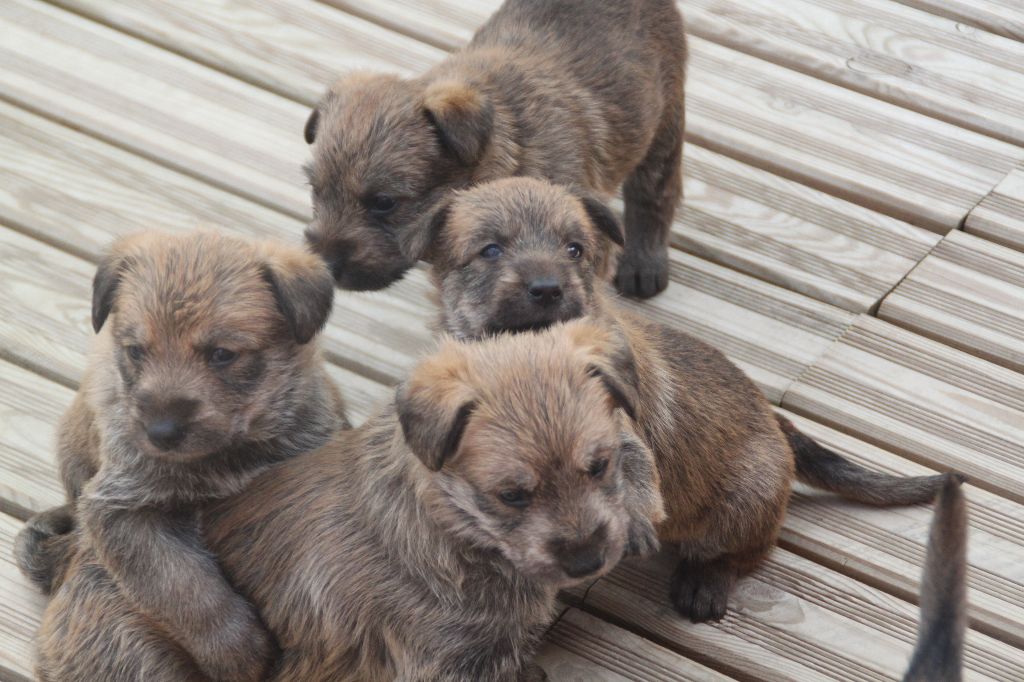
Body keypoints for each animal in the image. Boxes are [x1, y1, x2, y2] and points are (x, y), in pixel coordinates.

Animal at [16, 229, 344, 679]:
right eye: (136, 351)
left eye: (222, 354)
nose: (160, 432)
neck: (228, 454)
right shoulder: (122, 508)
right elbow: (181, 584)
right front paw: (236, 651)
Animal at [29, 319, 663, 679]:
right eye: (511, 496)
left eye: (599, 465)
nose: (586, 560)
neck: (452, 529)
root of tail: (74, 559)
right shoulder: (443, 665)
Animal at [303, 0, 688, 299]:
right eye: (315, 191)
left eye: (384, 203)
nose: (324, 265)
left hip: (665, 116)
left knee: (656, 190)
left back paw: (644, 264)